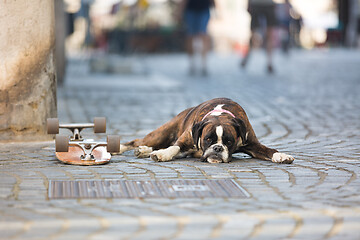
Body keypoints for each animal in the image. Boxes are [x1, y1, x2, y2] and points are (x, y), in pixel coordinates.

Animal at [119, 97, 294, 163]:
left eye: (229, 142)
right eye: (207, 139)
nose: (217, 148)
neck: (221, 114)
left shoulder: (253, 144)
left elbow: (268, 150)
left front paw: (281, 155)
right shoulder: (185, 139)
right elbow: (174, 147)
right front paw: (162, 155)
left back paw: (144, 150)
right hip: (161, 134)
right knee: (137, 141)